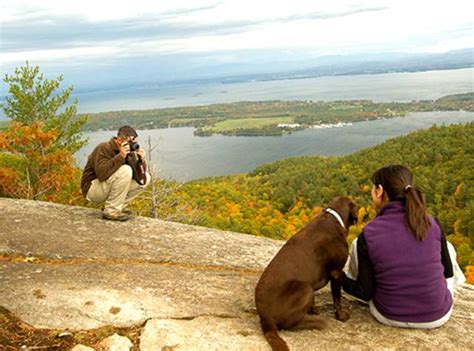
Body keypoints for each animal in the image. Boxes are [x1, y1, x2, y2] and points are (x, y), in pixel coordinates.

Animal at [256, 197, 356, 350]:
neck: (333, 217)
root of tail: (265, 319)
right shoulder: (336, 272)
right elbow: (337, 299)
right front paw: (341, 316)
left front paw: (313, 309)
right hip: (304, 287)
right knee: (289, 324)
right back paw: (315, 322)